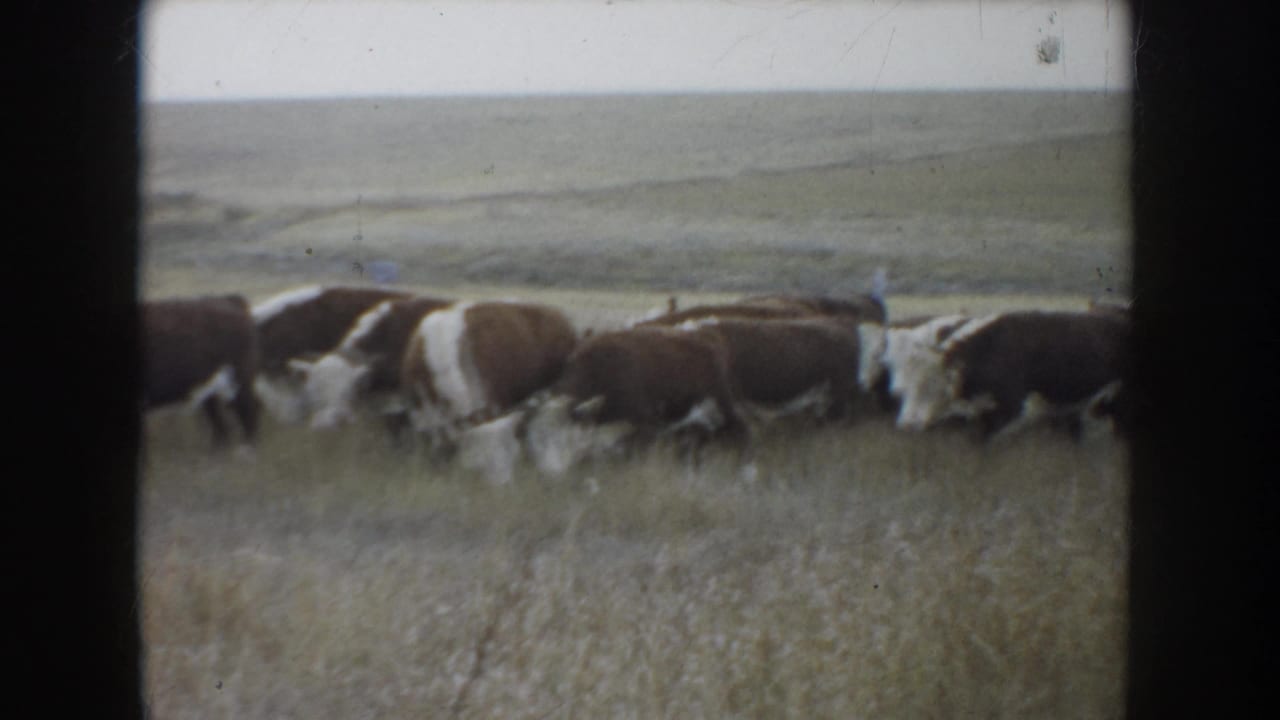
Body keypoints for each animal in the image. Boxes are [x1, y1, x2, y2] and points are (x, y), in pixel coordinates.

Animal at [141, 294, 260, 451]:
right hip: (210, 388)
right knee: (221, 422)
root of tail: (228, 299)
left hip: (239, 379)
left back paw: (246, 450)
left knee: (247, 410)